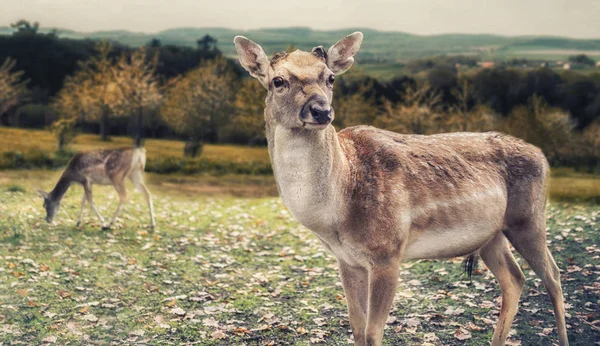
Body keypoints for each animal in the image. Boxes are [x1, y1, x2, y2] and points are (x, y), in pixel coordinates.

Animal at [233, 32, 568, 346]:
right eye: (278, 81)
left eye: (329, 77)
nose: (321, 111)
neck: (338, 213)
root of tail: (543, 156)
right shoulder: (347, 260)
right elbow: (356, 328)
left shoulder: (388, 252)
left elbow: (372, 333)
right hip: (491, 235)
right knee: (514, 279)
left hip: (529, 218)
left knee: (553, 276)